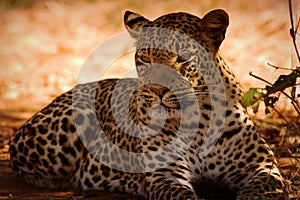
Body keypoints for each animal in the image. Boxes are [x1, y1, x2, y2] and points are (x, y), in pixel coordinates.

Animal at [8, 8, 288, 199]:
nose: (156, 90)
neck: (199, 121)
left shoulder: (263, 167)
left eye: (182, 59)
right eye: (144, 57)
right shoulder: (165, 176)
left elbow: (261, 189)